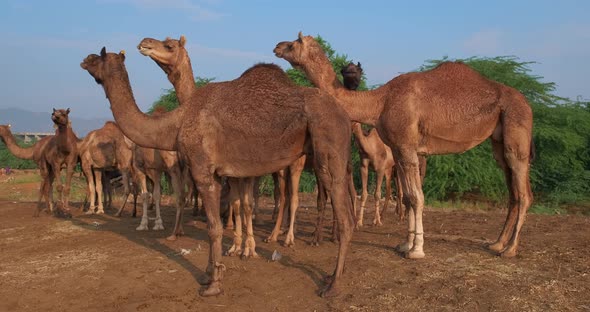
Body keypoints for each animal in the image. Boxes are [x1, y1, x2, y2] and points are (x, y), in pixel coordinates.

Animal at [81, 47, 354, 298]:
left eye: (98, 57)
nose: (84, 60)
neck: (176, 123)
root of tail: (344, 115)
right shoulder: (217, 173)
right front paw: (209, 273)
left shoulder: (202, 171)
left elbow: (215, 228)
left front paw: (214, 284)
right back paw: (332, 274)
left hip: (327, 145)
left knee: (344, 218)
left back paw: (332, 285)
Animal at [276, 33, 536, 260]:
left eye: (294, 42)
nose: (277, 46)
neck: (379, 102)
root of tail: (526, 103)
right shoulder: (400, 150)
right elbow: (410, 198)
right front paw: (405, 244)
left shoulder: (406, 147)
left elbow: (417, 197)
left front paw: (417, 250)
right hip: (498, 143)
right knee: (513, 192)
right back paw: (497, 243)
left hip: (517, 130)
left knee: (524, 193)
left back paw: (510, 249)